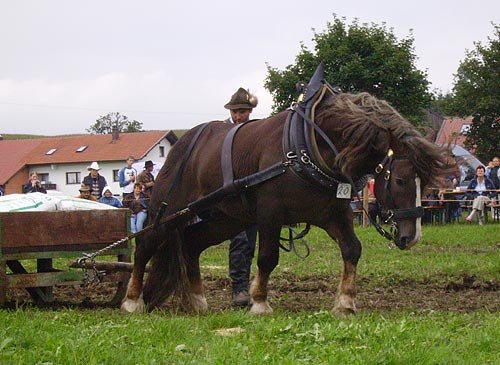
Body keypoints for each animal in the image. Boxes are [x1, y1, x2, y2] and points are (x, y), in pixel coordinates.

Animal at [122, 80, 450, 316]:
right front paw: (259, 302)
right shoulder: (270, 213)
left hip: (225, 218)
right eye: (401, 180)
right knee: (145, 245)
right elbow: (268, 257)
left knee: (191, 242)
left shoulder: (333, 214)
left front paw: (345, 302)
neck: (307, 146)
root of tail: (185, 143)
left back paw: (197, 300)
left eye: (425, 184)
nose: (411, 237)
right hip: (168, 209)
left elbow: (352, 249)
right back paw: (132, 300)